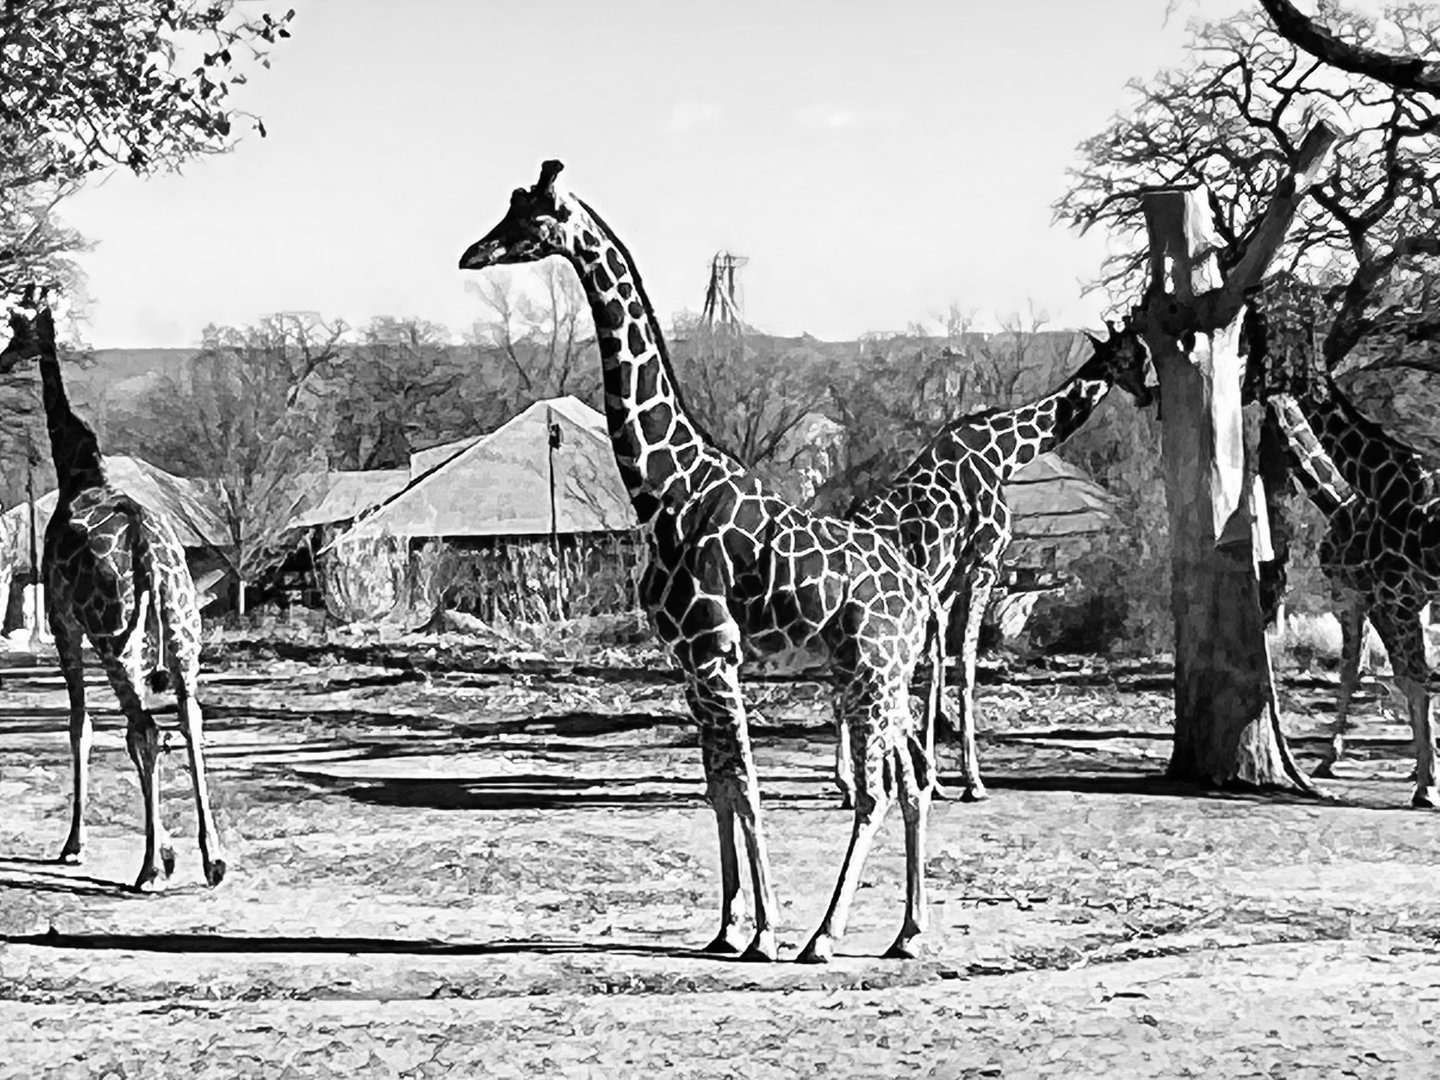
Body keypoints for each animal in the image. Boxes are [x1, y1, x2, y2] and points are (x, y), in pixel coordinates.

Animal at [0, 290, 226, 888]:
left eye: (18, 329)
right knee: (187, 718)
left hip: (112, 636)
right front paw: (173, 849)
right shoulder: (142, 641)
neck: (79, 473)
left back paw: (147, 869)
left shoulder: (62, 623)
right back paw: (213, 857)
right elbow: (133, 733)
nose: (3, 360)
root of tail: (148, 546)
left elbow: (81, 726)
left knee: (145, 727)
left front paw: (76, 845)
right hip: (181, 632)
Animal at [459, 161, 944, 962]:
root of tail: (922, 591)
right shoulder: (687, 663)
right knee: (914, 782)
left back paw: (823, 936)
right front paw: (725, 926)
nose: (473, 253)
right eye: (508, 208)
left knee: (876, 792)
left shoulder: (716, 653)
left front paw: (767, 930)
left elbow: (745, 786)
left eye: (533, 217)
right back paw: (907, 931)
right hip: (884, 677)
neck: (662, 490)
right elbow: (715, 787)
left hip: (871, 676)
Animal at [840, 322, 1154, 805]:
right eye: (1124, 359)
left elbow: (936, 667)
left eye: (1144, 354)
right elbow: (966, 666)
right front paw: (973, 781)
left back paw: (853, 783)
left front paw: (934, 777)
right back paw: (857, 782)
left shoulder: (949, 580)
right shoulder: (985, 562)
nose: (1148, 394)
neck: (1003, 453)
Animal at [1248, 276, 1440, 806]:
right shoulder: (1393, 600)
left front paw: (1425, 785)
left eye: (1260, 332)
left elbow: (1402, 676)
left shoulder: (1383, 598)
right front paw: (1424, 774)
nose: (1251, 387)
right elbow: (1401, 675)